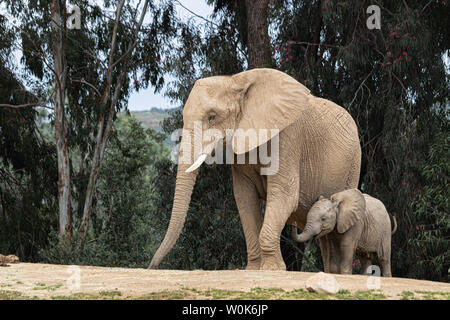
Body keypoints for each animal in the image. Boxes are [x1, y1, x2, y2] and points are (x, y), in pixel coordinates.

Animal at [149, 69, 360, 272]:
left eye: (212, 116)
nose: (151, 266)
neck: (237, 81)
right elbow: (244, 198)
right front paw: (253, 268)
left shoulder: (288, 137)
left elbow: (284, 195)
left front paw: (273, 269)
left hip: (354, 164)